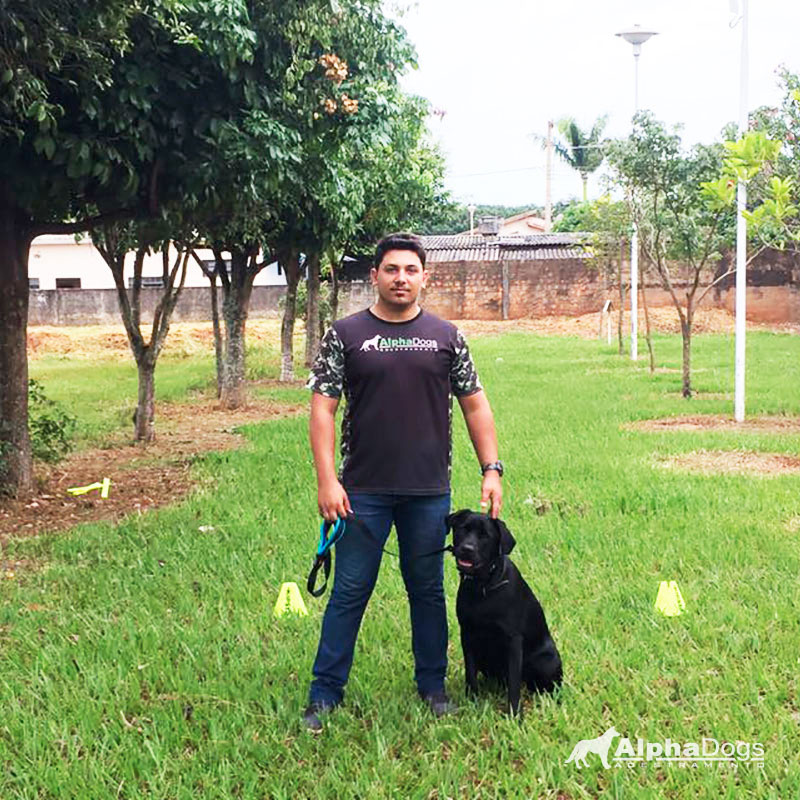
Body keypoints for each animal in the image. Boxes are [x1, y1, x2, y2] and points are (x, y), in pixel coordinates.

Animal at [447, 509, 562, 717]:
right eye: (462, 529)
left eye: (485, 536)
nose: (467, 548)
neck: (483, 586)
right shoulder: (467, 635)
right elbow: (470, 673)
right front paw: (472, 702)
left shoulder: (513, 640)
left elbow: (514, 683)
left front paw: (515, 715)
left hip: (547, 661)